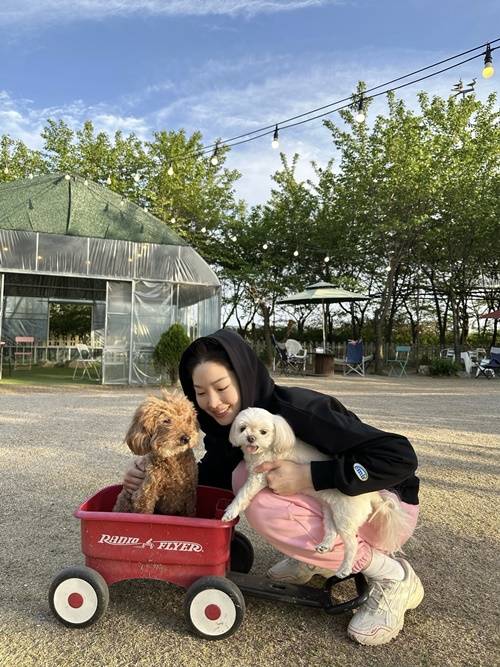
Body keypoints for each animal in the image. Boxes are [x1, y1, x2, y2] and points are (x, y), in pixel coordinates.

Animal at [222, 407, 412, 578]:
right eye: (242, 428)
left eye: (264, 432)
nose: (251, 438)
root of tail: (371, 494)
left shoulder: (259, 477)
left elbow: (242, 495)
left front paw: (230, 512)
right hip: (330, 512)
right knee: (331, 531)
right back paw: (325, 546)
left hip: (345, 518)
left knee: (352, 544)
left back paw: (345, 569)